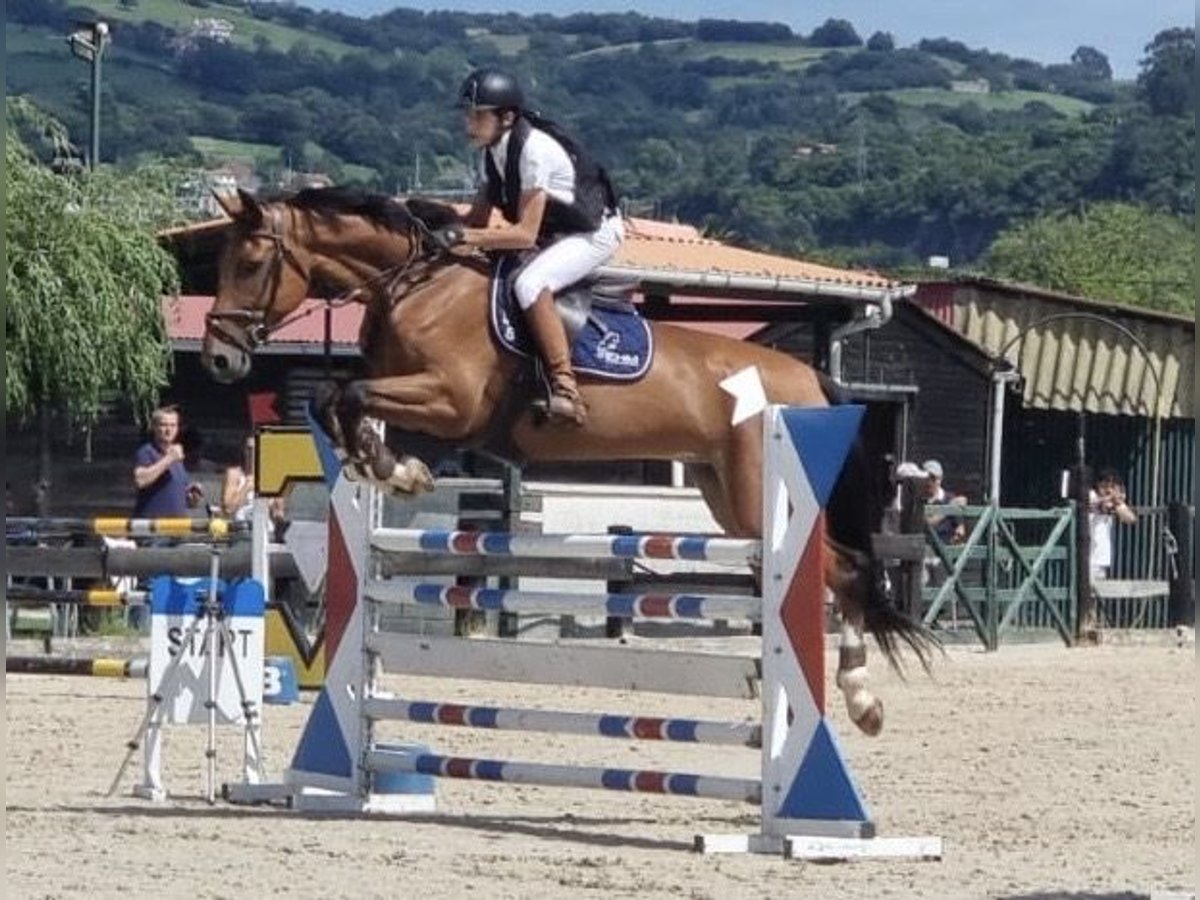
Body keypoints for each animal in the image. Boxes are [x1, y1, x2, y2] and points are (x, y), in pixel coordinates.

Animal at [201, 188, 931, 734]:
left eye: (252, 261)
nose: (220, 359)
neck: (416, 286)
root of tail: (810, 378)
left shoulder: (451, 403)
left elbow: (347, 394)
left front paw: (395, 469)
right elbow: (333, 398)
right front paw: (383, 466)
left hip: (758, 494)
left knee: (845, 569)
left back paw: (862, 699)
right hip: (726, 495)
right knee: (839, 568)